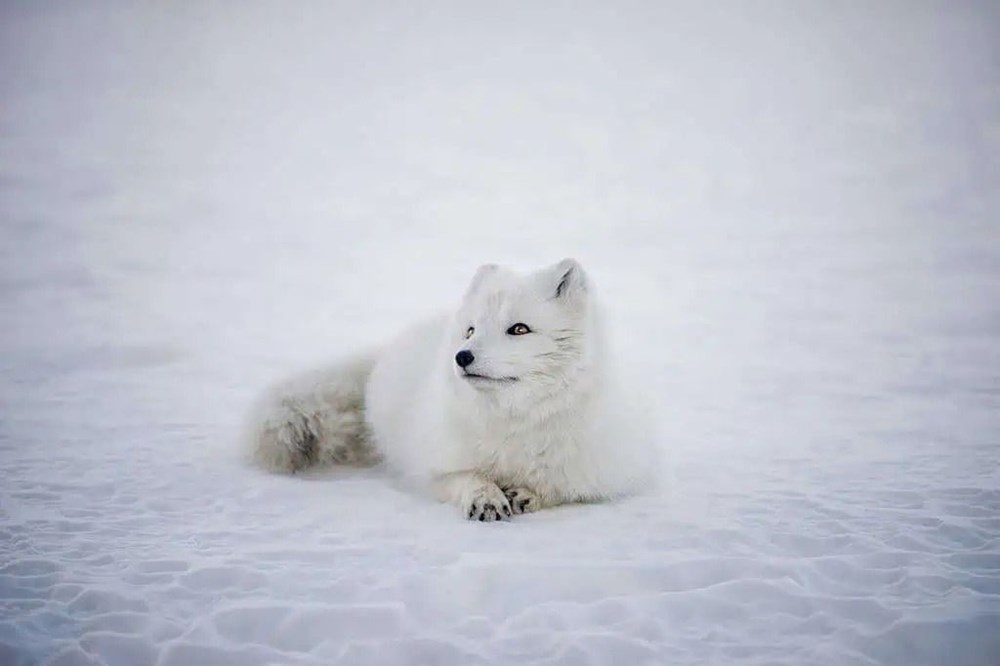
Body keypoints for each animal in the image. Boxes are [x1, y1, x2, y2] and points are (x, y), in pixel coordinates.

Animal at [248, 258, 656, 520]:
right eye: (471, 330)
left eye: (519, 329)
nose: (462, 356)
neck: (514, 421)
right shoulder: (432, 467)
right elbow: (464, 477)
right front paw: (485, 497)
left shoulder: (611, 472)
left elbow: (564, 487)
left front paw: (528, 493)